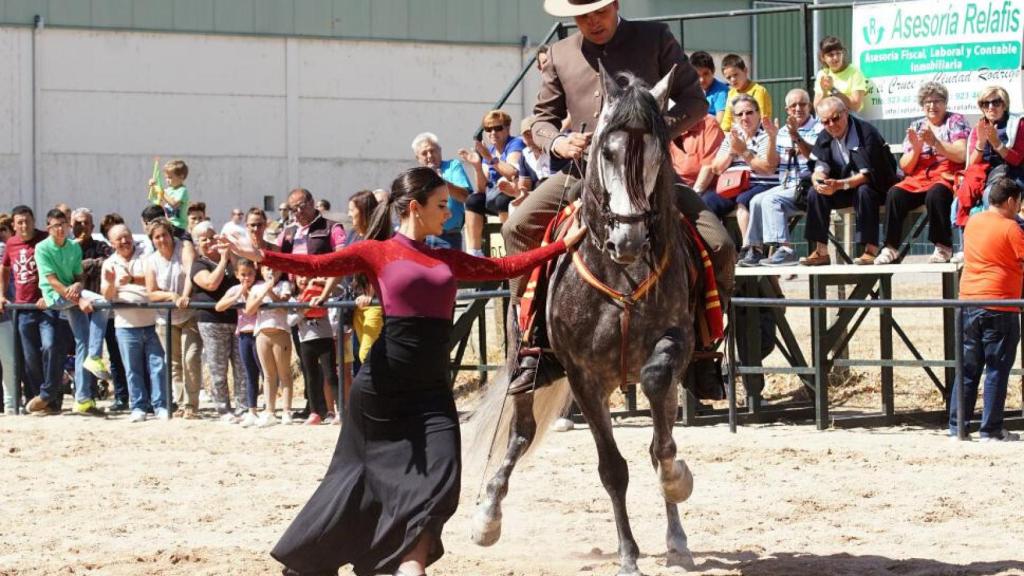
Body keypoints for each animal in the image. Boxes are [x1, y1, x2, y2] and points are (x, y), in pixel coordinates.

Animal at [468, 65, 698, 576]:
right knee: (520, 433)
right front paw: (628, 555)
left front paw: (676, 479)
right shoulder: (583, 376)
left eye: (657, 154)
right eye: (605, 151)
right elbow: (612, 469)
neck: (621, 271)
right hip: (529, 367)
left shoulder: (673, 346)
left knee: (662, 428)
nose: (628, 240)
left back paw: (678, 538)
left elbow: (660, 428)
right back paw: (487, 516)